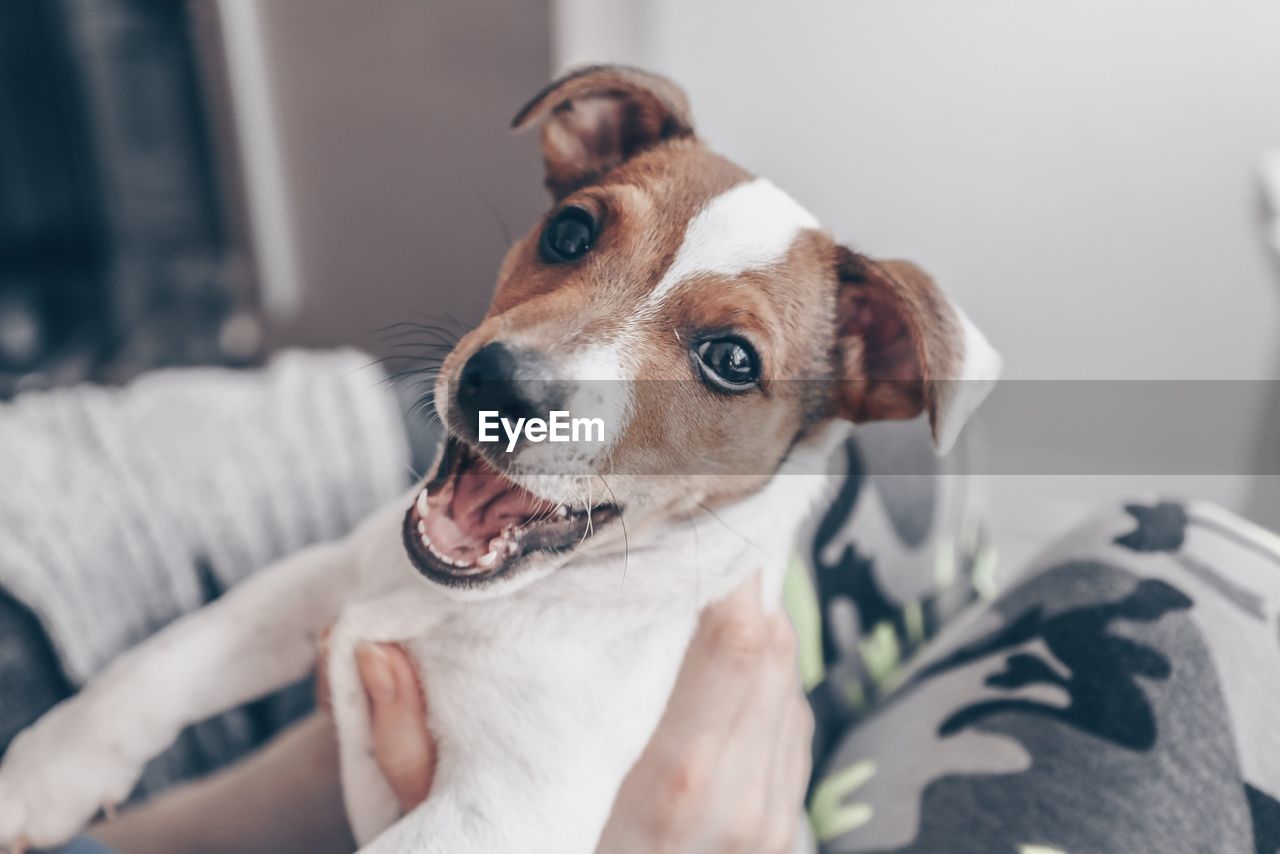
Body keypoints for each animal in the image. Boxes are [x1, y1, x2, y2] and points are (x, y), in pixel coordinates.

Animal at [0, 68, 998, 854]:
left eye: (732, 360)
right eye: (569, 232)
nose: (501, 385)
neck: (476, 604)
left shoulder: (504, 814)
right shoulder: (331, 574)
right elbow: (162, 662)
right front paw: (36, 781)